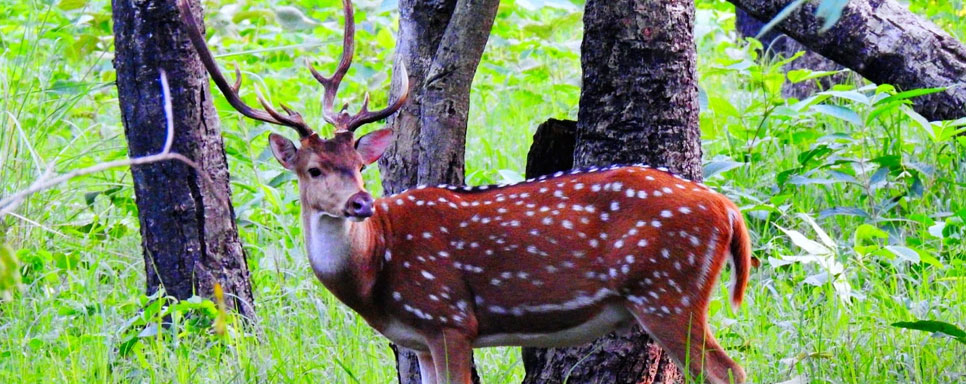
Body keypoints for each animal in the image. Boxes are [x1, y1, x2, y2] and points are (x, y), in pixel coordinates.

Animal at [180, 0, 756, 380]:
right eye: (315, 170)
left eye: (360, 166)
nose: (361, 202)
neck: (374, 273)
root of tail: (728, 209)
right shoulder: (418, 338)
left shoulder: (449, 316)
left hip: (667, 290)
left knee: (728, 371)